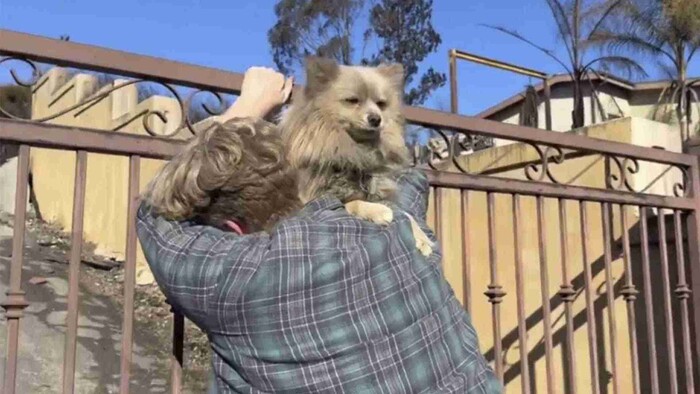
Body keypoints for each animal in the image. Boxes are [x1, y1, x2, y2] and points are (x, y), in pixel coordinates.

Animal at [278, 57, 432, 255]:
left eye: (381, 104)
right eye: (352, 101)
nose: (376, 118)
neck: (356, 149)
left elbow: (405, 213)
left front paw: (422, 238)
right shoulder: (314, 199)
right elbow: (352, 203)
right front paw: (377, 211)